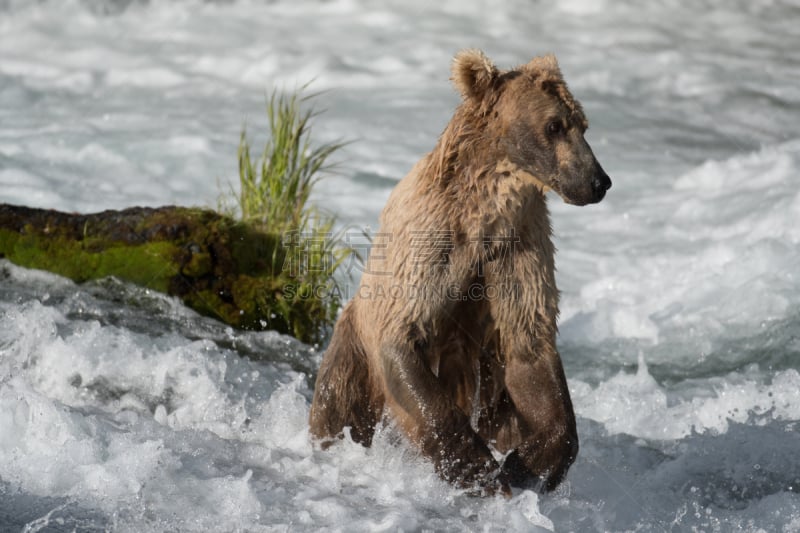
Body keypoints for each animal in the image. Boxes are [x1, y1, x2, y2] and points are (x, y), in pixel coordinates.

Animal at [310, 50, 608, 494]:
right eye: (554, 125)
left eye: (583, 124)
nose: (598, 181)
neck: (487, 210)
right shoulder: (431, 244)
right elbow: (406, 337)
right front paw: (477, 469)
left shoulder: (518, 248)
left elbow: (529, 345)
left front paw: (524, 466)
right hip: (354, 357)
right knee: (340, 405)